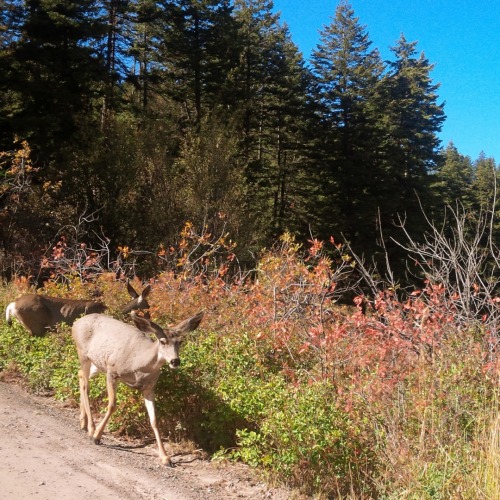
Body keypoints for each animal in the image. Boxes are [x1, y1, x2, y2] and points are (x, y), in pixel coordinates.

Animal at [70, 308, 203, 464]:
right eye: (162, 341)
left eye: (180, 342)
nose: (175, 361)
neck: (139, 364)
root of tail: (76, 323)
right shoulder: (112, 371)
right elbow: (112, 405)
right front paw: (97, 436)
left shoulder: (149, 387)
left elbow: (154, 420)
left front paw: (165, 457)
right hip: (83, 353)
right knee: (86, 384)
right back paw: (91, 429)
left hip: (97, 363)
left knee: (80, 375)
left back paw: (83, 422)